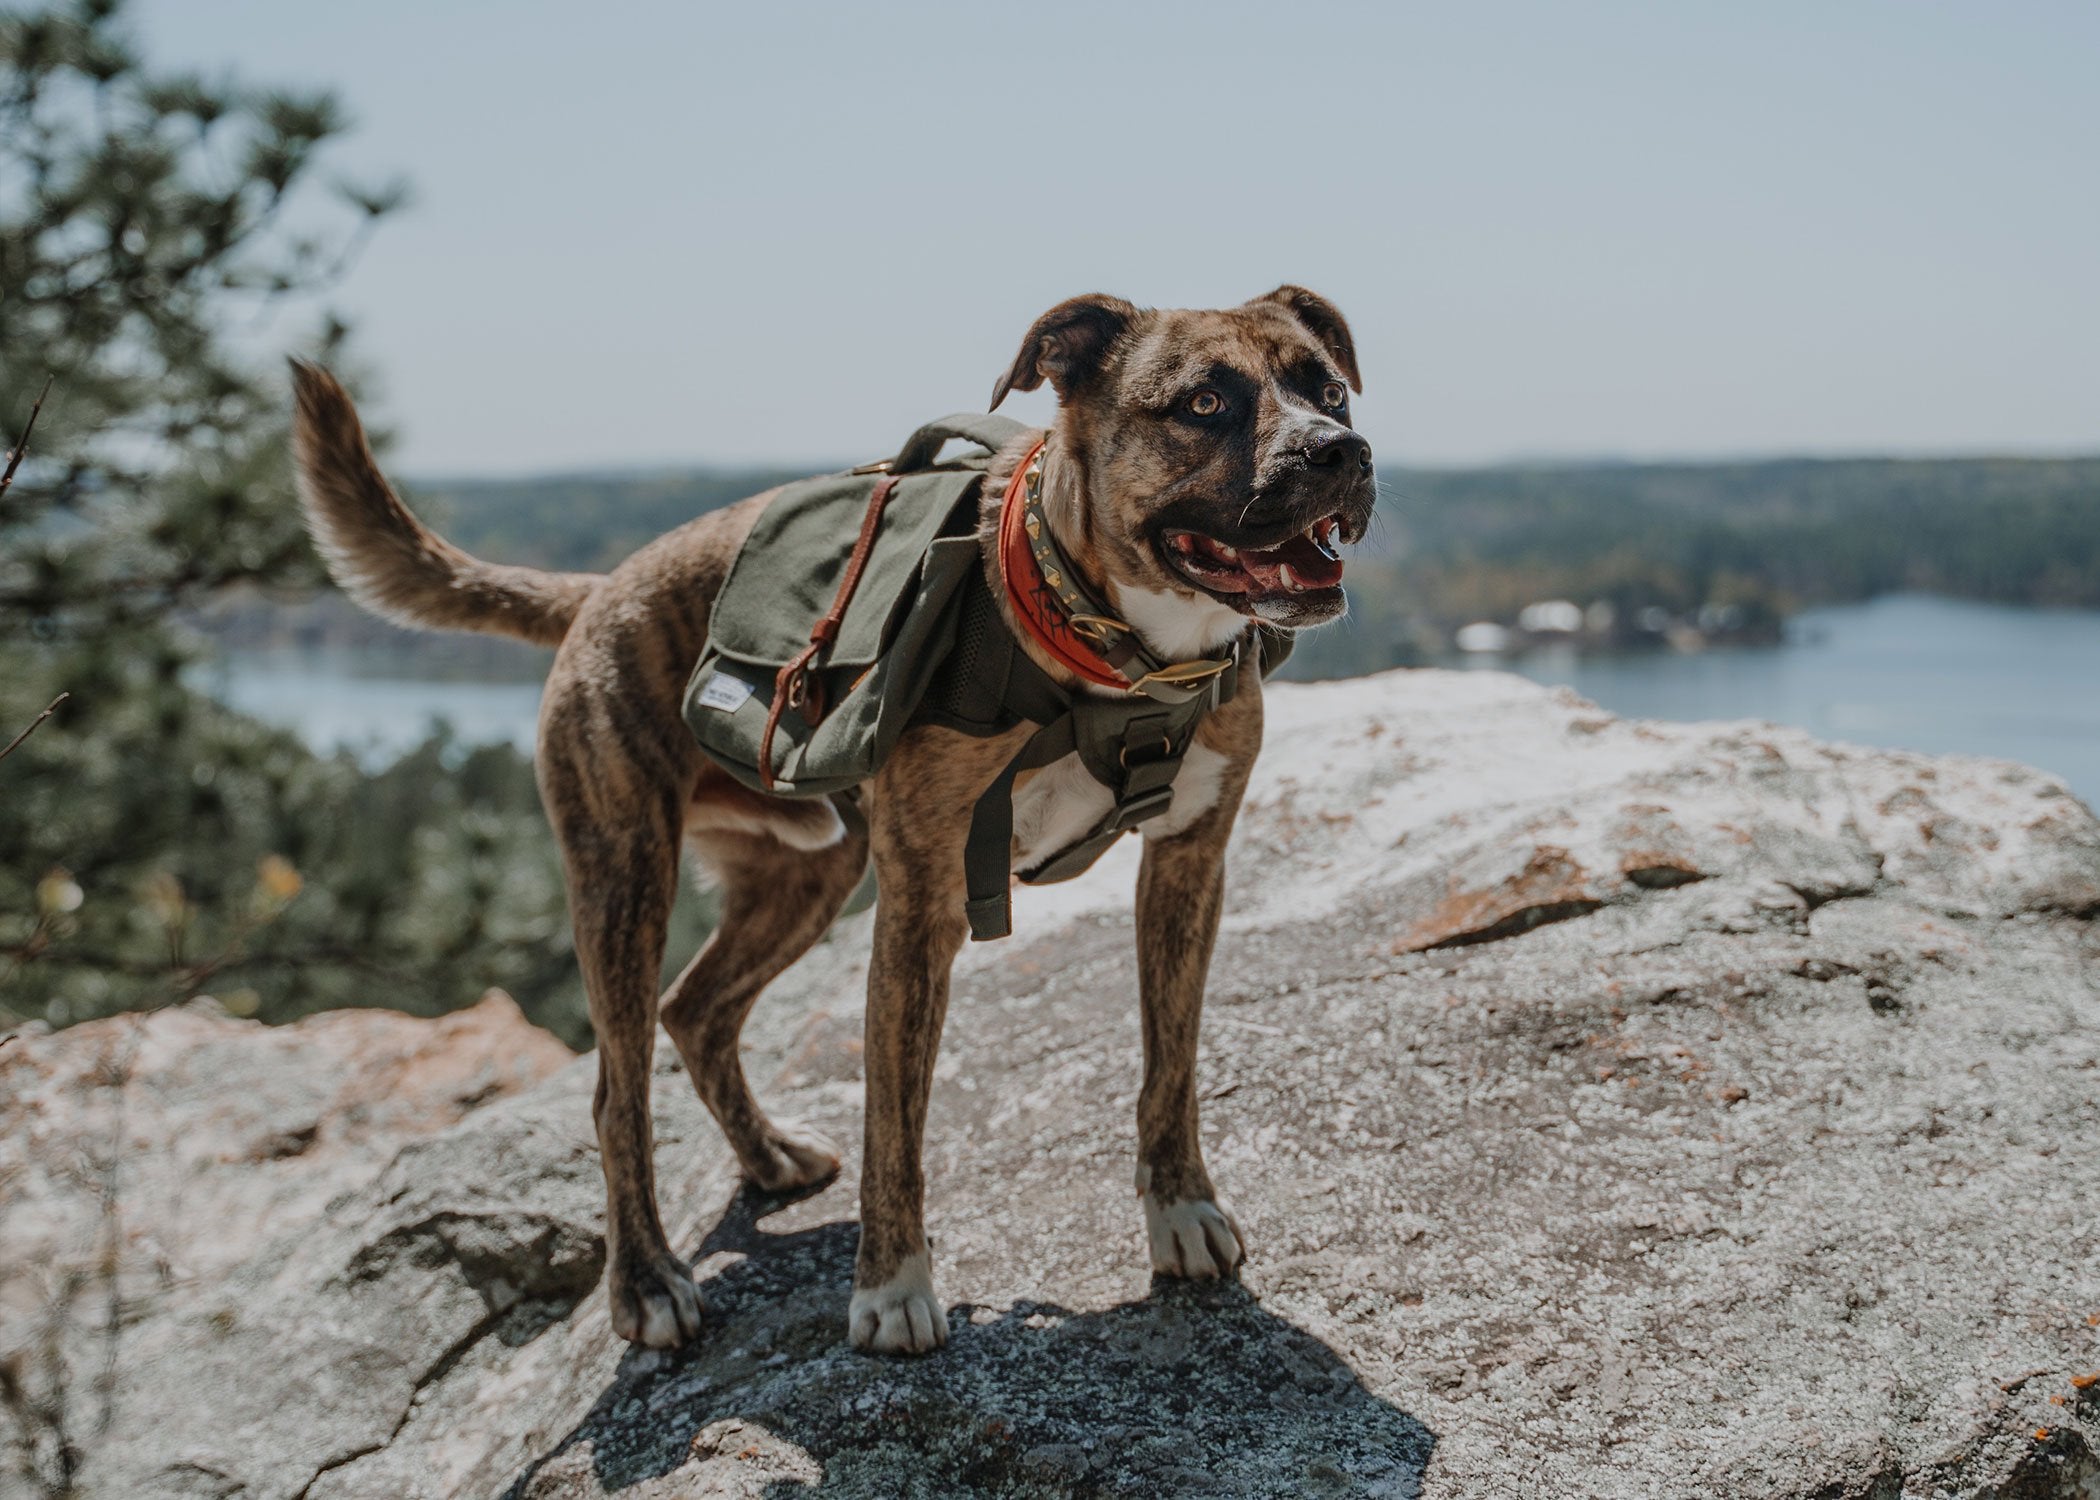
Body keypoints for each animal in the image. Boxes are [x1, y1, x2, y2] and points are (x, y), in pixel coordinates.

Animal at [291, 285, 1377, 1352]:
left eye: (1328, 388)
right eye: (1204, 403)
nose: (1341, 451)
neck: (1119, 655)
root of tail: (603, 588)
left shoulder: (1190, 862)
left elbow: (1172, 1062)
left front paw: (1181, 1209)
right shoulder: (921, 909)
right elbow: (895, 1123)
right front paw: (892, 1289)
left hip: (807, 873)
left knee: (698, 1009)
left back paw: (767, 1156)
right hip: (623, 875)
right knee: (617, 1091)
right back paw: (646, 1282)